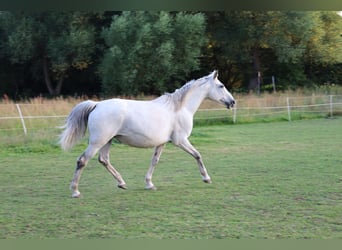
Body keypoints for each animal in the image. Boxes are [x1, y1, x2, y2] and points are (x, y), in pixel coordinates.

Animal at [58, 70, 235, 197]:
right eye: (221, 86)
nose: (232, 102)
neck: (179, 108)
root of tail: (97, 105)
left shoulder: (162, 143)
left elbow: (154, 161)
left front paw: (149, 184)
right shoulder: (181, 140)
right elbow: (197, 155)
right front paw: (206, 178)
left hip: (107, 141)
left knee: (104, 160)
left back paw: (122, 183)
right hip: (97, 142)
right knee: (82, 161)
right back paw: (75, 191)